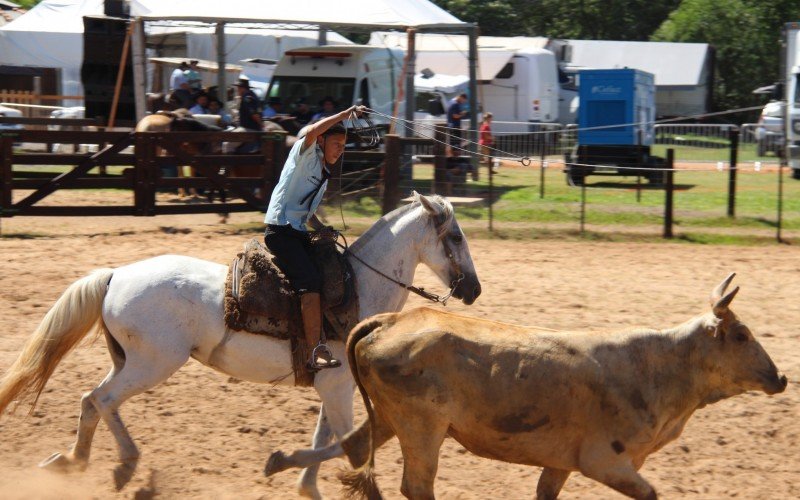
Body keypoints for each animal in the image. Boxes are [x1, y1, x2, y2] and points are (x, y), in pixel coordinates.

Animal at [0, 191, 482, 496]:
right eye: (456, 237)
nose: (473, 289)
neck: (359, 286)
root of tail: (116, 275)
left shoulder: (333, 386)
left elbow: (328, 437)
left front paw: (305, 486)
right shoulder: (338, 387)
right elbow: (350, 445)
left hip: (129, 361)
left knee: (92, 401)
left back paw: (79, 463)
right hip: (152, 364)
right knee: (101, 400)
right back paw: (118, 464)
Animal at [268, 276, 788, 498]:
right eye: (741, 335)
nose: (780, 377)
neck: (658, 368)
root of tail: (392, 320)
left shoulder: (562, 462)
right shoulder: (606, 461)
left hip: (394, 418)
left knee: (357, 448)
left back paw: (281, 460)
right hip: (422, 426)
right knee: (415, 484)